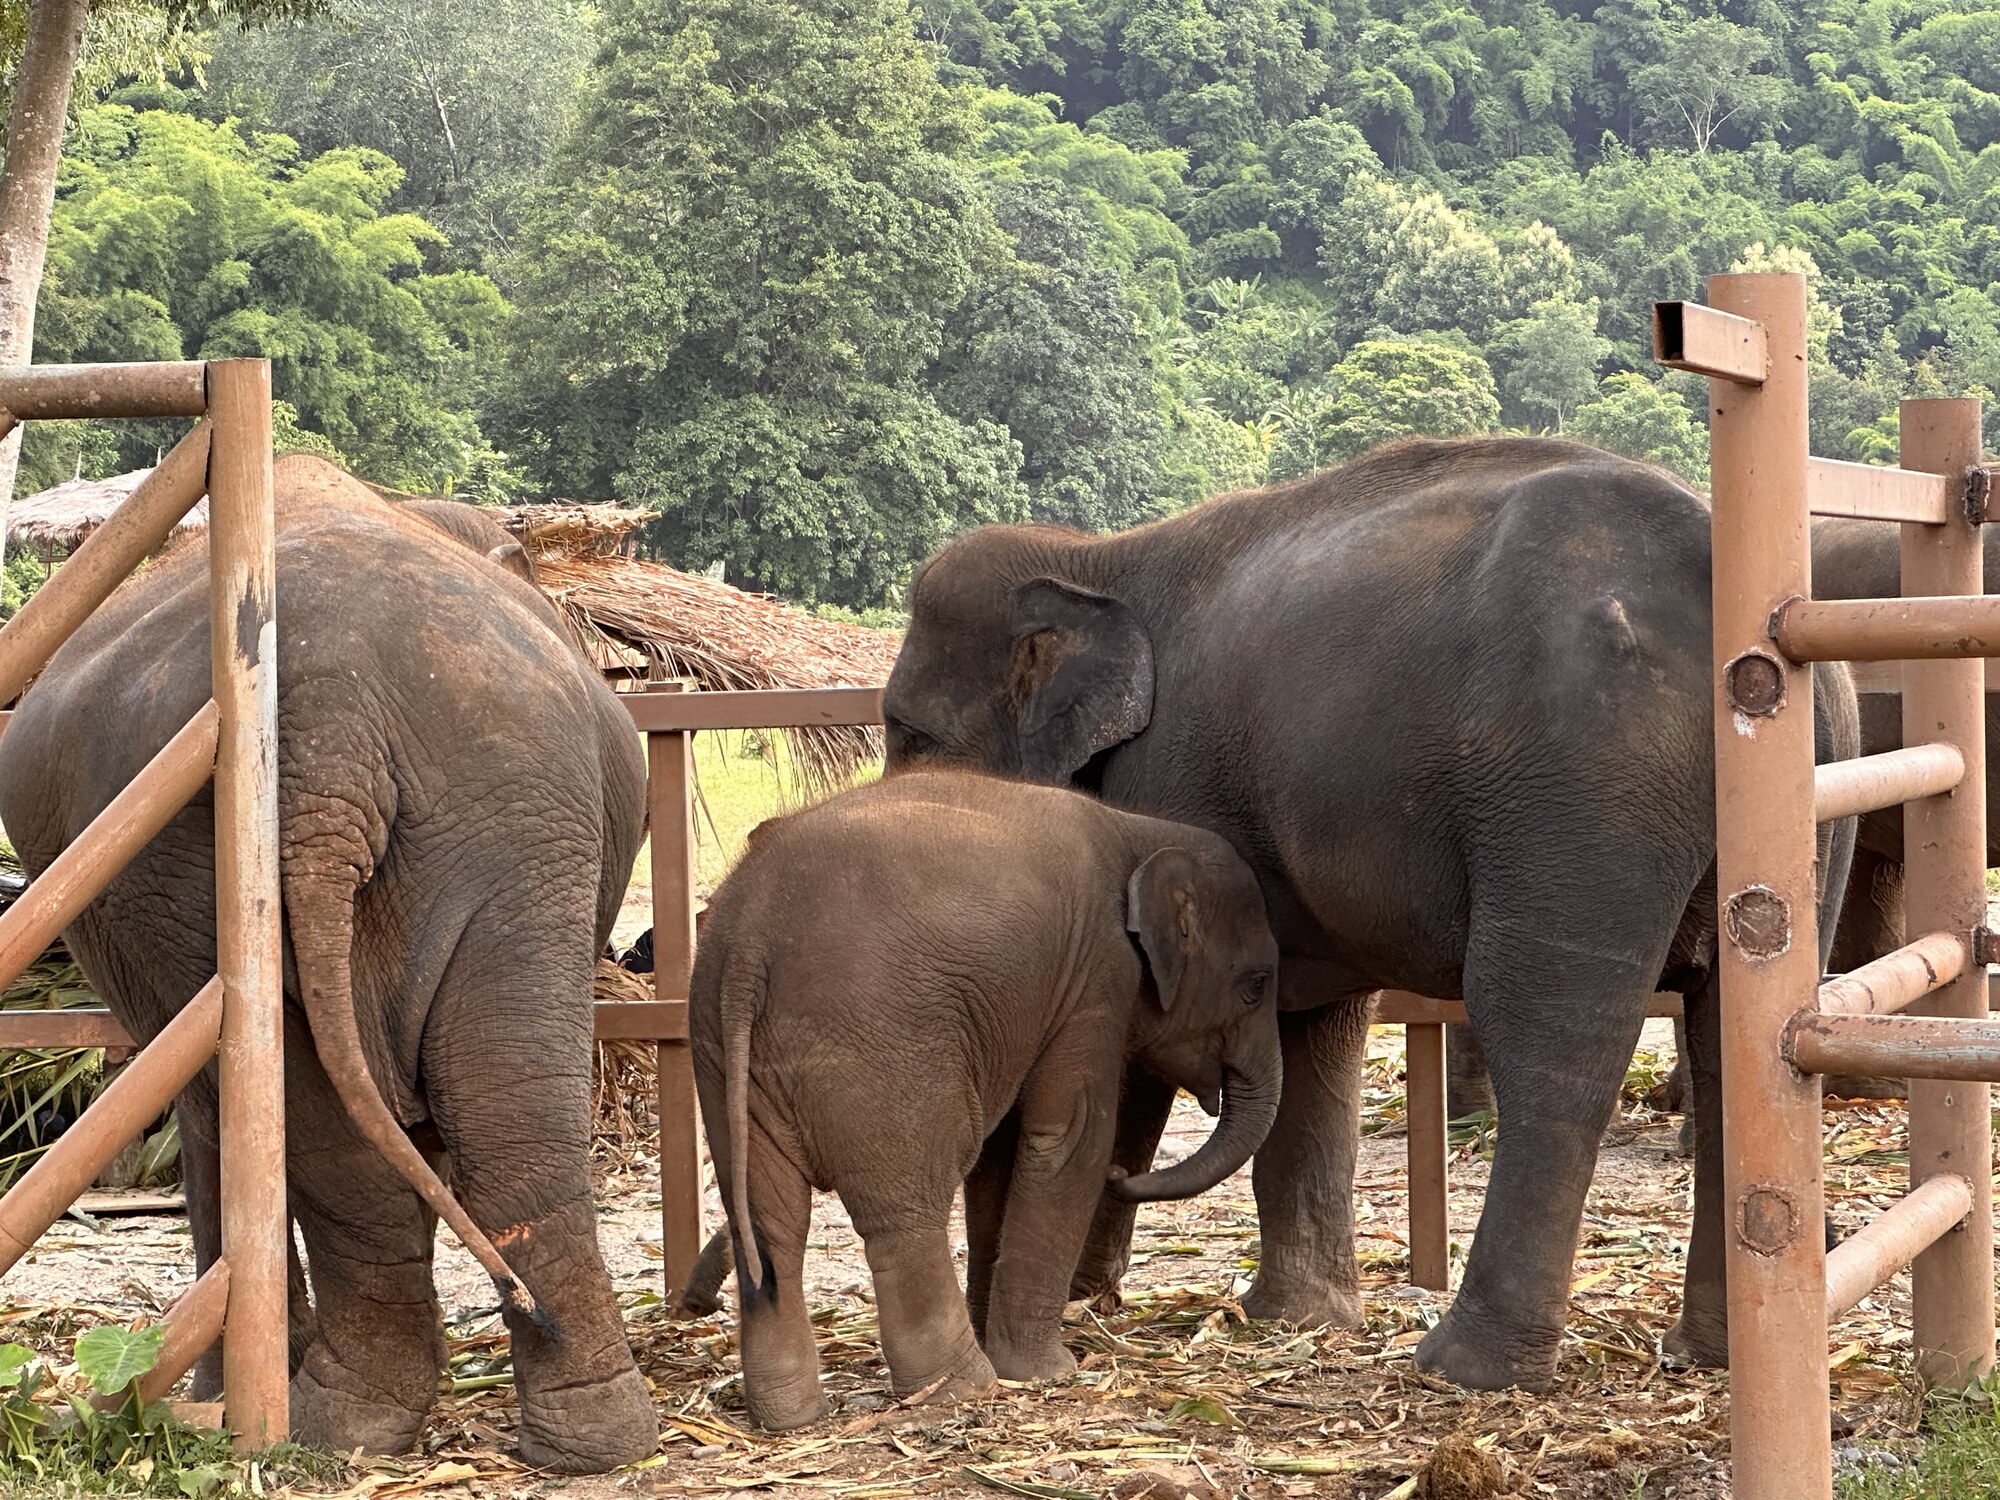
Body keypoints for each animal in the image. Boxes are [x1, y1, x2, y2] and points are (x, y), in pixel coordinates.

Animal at [0, 456, 658, 1471]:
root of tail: (325, 703)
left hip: (468, 817)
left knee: (391, 1123)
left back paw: (361, 1425)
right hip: (499, 815)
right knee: (486, 1119)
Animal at [688, 769, 1283, 1431]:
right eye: (1256, 985)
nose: (1125, 1175)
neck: (1140, 831)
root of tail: (748, 944)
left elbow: (1000, 1152)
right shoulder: (1097, 978)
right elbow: (1068, 1136)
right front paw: (1047, 1372)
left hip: (722, 1054)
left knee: (772, 1228)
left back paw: (793, 1419)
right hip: (879, 1048)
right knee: (905, 1212)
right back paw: (963, 1389)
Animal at [879, 435, 1859, 1389]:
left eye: (908, 734)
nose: (1124, 1185)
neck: (1092, 557)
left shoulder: (1164, 797)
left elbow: (1145, 1034)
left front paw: (1090, 1293)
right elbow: (1310, 1023)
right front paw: (1296, 1320)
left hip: (1582, 793)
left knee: (1550, 1034)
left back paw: (1465, 1370)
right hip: (1804, 800)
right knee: (1740, 1035)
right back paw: (1710, 1354)